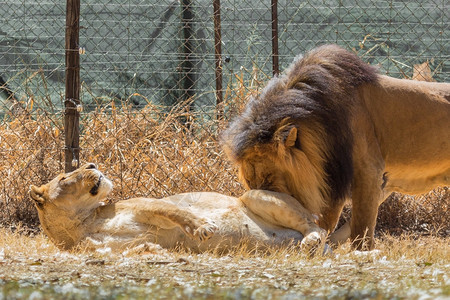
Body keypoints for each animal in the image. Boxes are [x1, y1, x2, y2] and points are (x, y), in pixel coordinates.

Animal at [29, 163, 328, 252]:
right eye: (64, 177)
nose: (92, 164)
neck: (84, 223)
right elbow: (134, 249)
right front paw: (152, 250)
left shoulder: (148, 205)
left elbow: (176, 212)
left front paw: (203, 227)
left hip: (254, 196)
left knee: (316, 226)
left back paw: (311, 240)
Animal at [222, 44, 450, 251]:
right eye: (250, 182)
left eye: (270, 178)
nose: (256, 202)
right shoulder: (332, 176)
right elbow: (327, 222)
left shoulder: (368, 170)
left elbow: (361, 225)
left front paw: (361, 252)